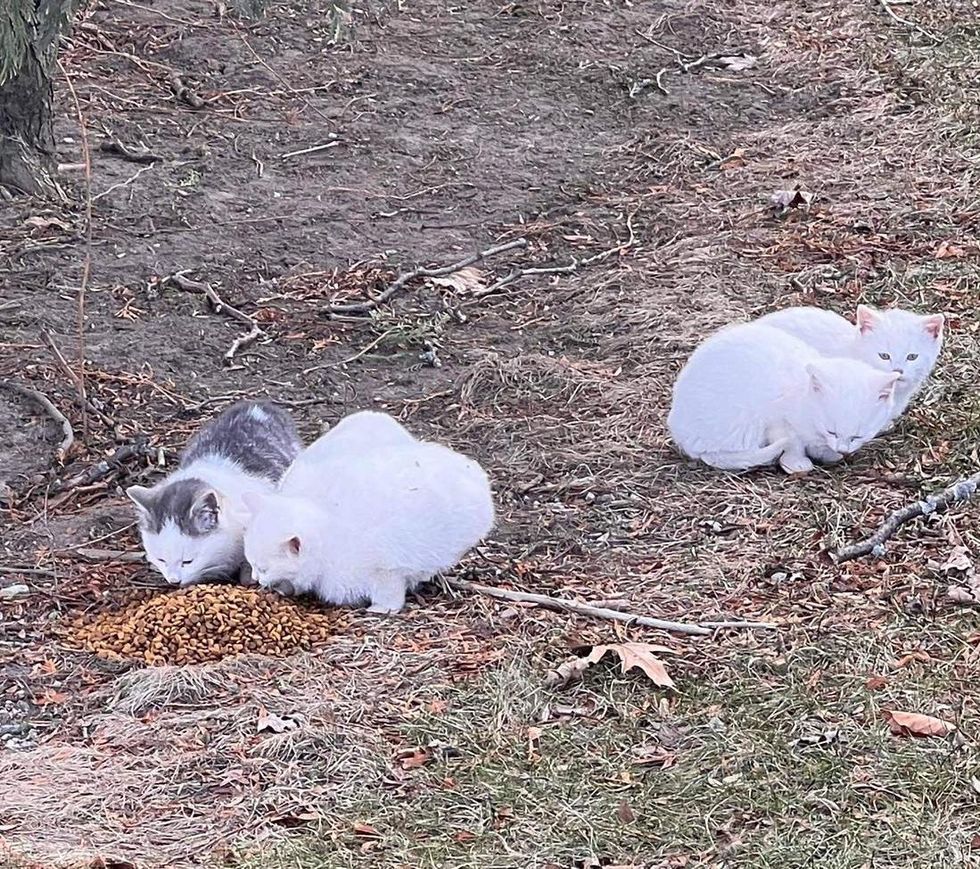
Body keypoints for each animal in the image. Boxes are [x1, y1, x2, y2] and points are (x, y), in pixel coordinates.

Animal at [241, 410, 494, 612]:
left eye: (263, 568)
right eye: (252, 564)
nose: (255, 578)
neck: (328, 532)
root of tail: (474, 470)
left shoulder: (386, 569)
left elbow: (389, 593)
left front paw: (382, 609)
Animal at [668, 318, 900, 472]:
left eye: (858, 436)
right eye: (832, 431)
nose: (843, 449)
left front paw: (828, 453)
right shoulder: (777, 420)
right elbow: (792, 442)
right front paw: (797, 462)